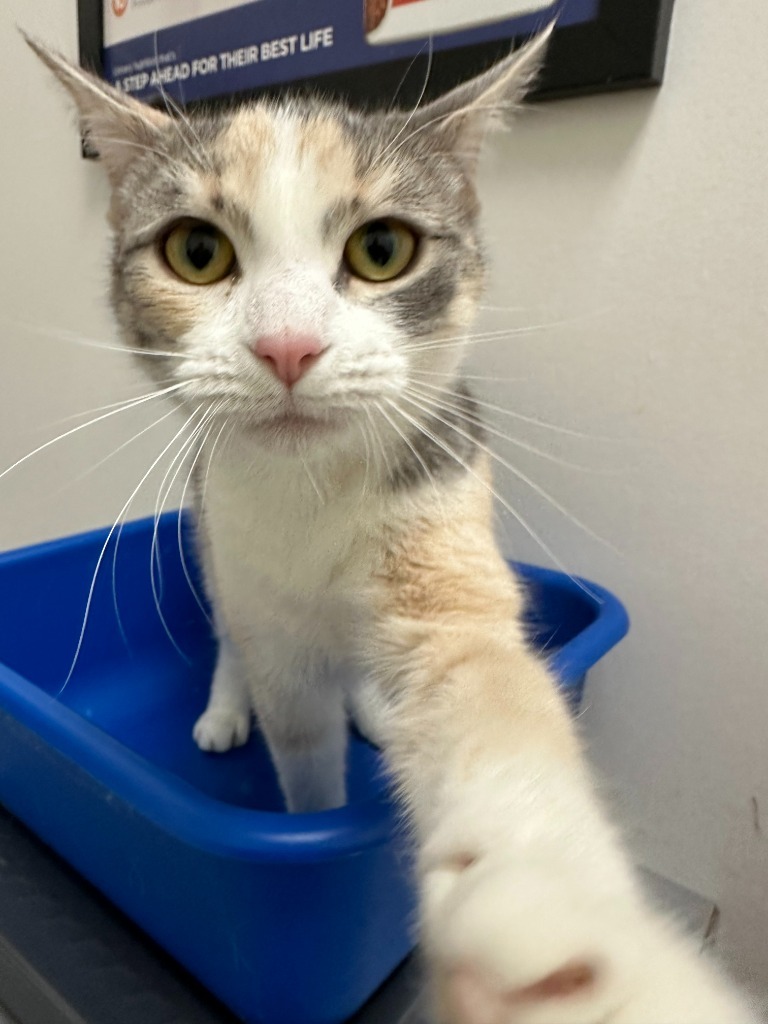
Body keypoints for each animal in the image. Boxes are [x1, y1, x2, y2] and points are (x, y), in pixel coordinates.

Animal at [27, 32, 761, 1024]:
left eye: (382, 249)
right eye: (196, 251)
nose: (287, 347)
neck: (312, 494)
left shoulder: (442, 502)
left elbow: (478, 685)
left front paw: (554, 912)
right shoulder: (260, 597)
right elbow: (299, 747)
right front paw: (300, 799)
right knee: (229, 632)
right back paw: (226, 707)